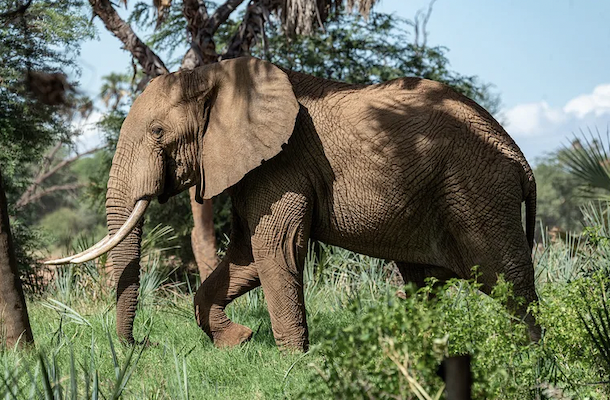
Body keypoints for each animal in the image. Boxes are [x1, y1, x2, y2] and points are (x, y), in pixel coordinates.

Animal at [50, 56, 540, 350]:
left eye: (157, 132)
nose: (143, 345)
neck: (216, 75)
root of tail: (520, 157)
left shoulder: (283, 163)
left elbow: (274, 249)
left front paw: (293, 362)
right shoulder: (254, 167)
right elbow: (246, 257)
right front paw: (239, 341)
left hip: (478, 189)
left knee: (508, 281)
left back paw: (530, 359)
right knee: (426, 283)